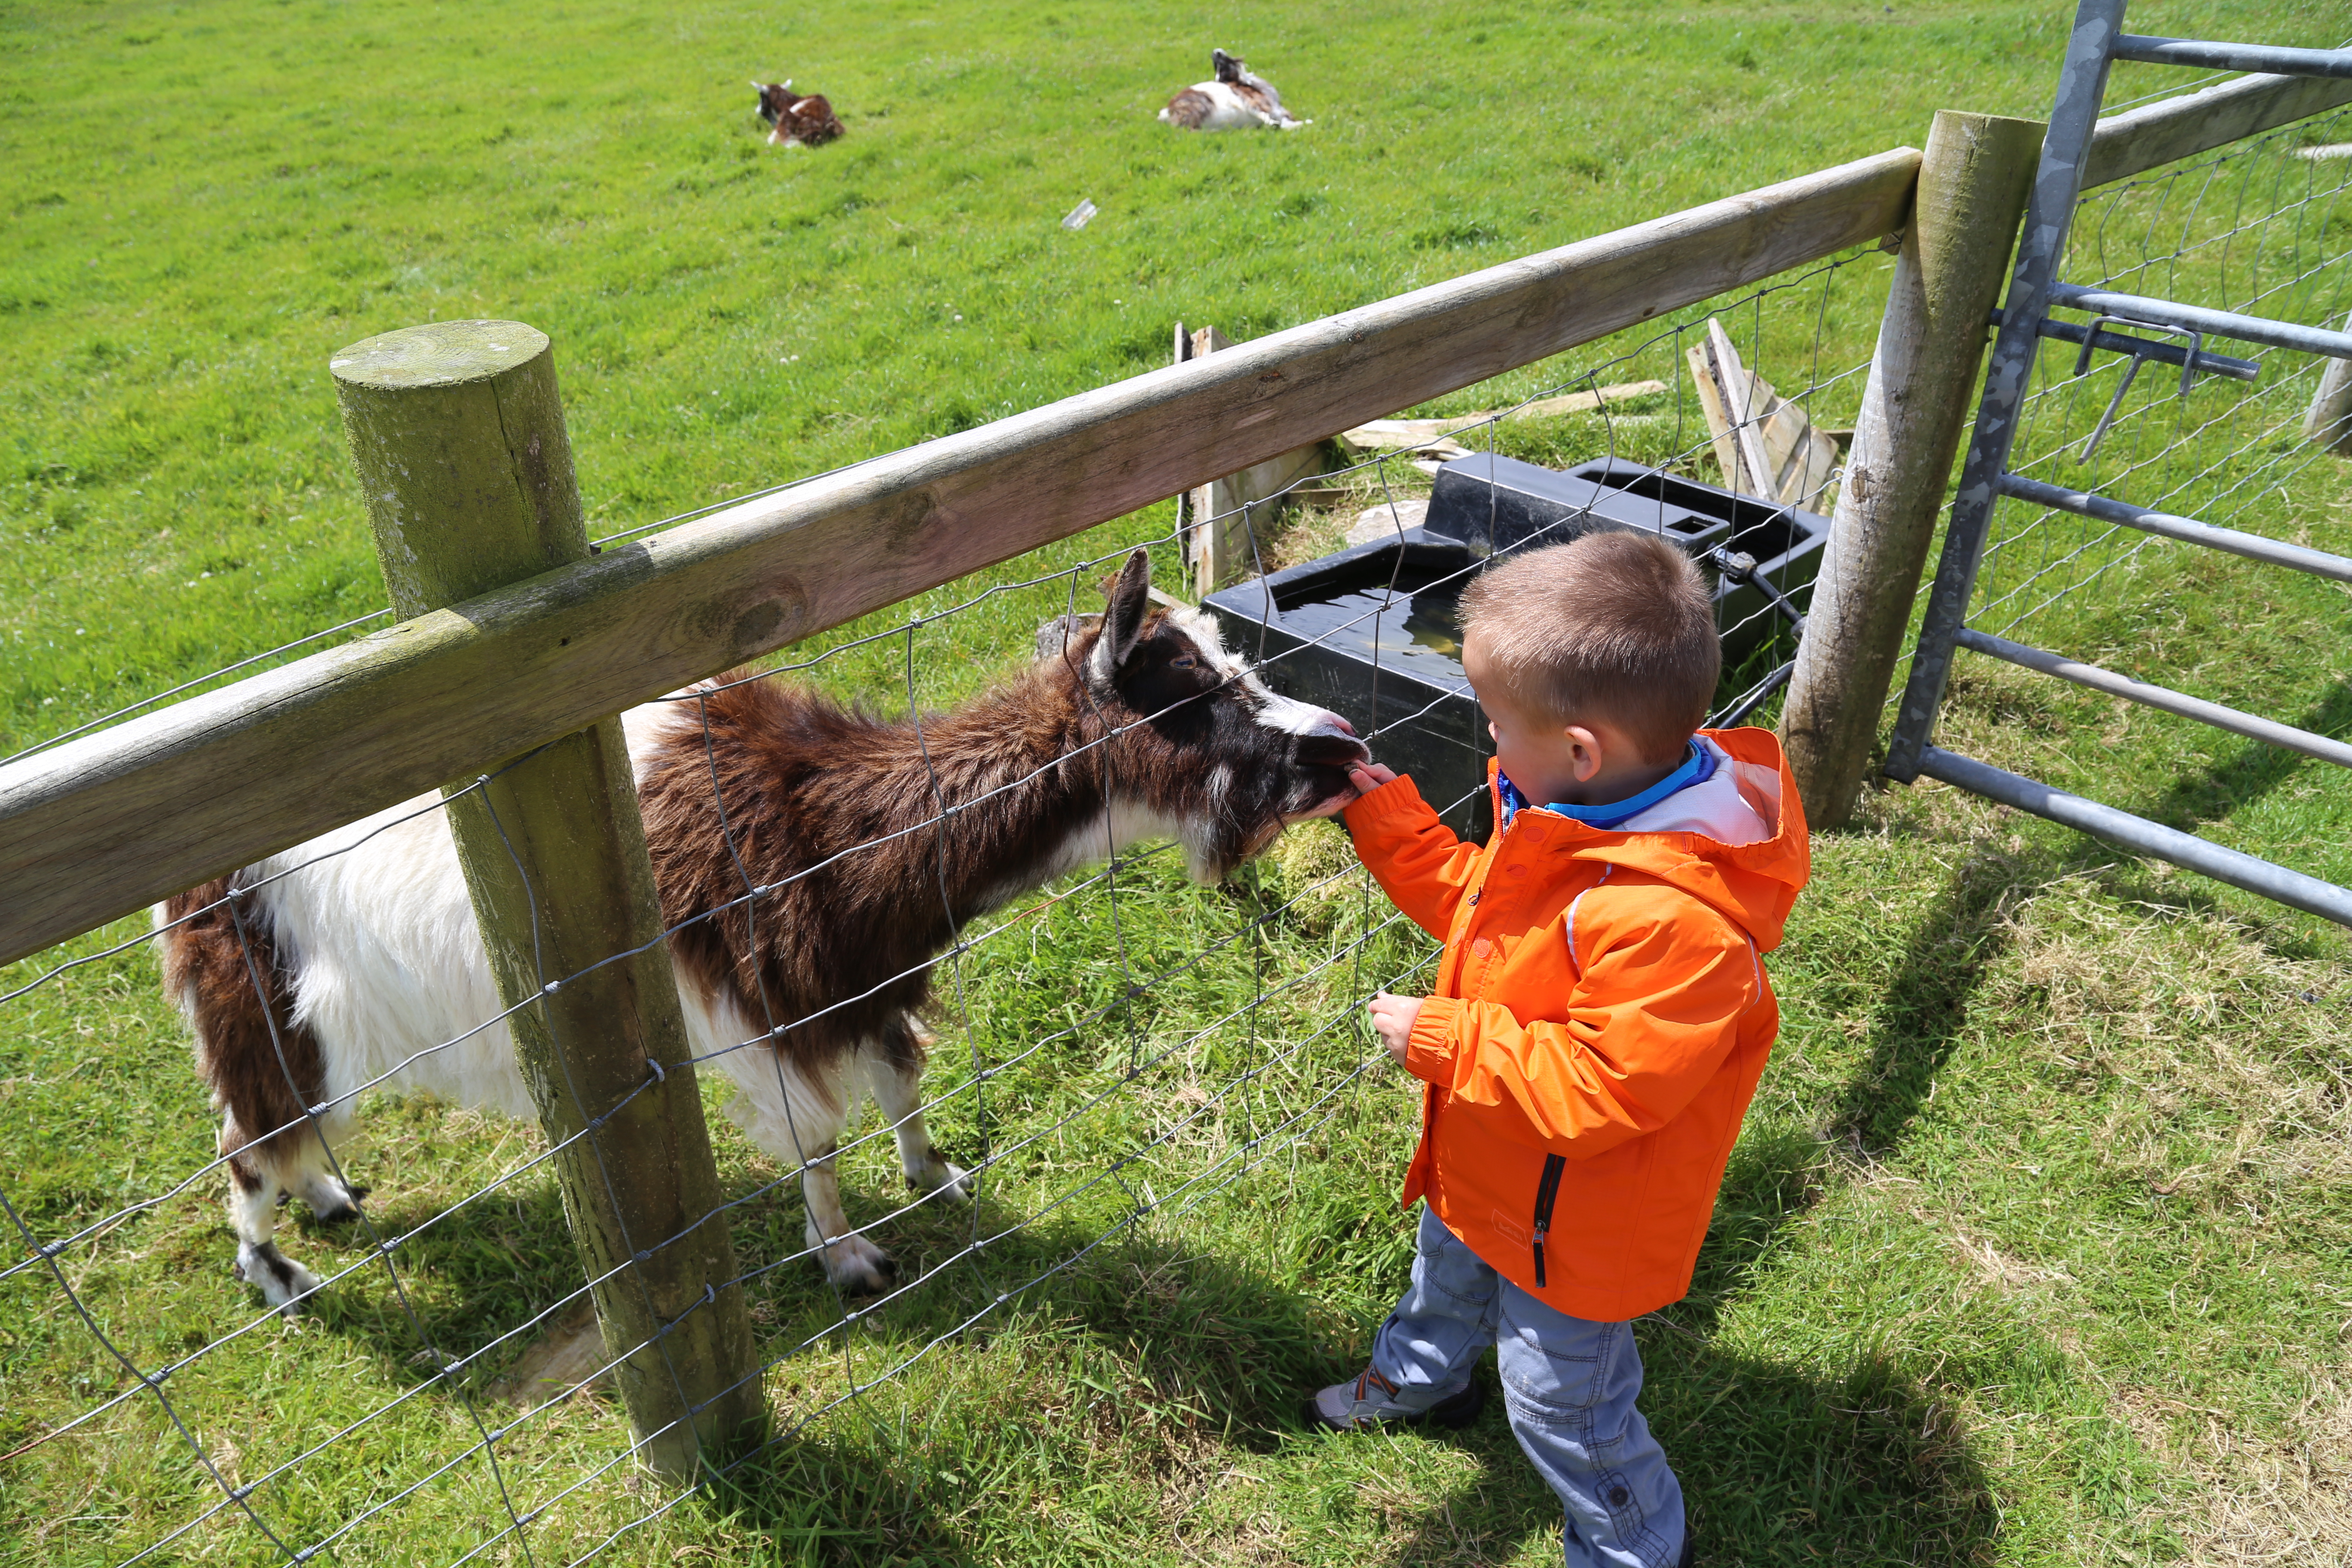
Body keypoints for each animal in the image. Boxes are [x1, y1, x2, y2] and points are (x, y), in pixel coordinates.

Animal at [161, 552, 1364, 1316]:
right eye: (1191, 696)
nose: (1341, 745)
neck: (829, 827)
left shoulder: (866, 977)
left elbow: (903, 1078)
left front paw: (935, 1176)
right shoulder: (773, 1011)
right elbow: (816, 1141)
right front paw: (847, 1260)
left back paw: (327, 1195)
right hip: (265, 994)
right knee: (246, 1132)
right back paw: (275, 1273)